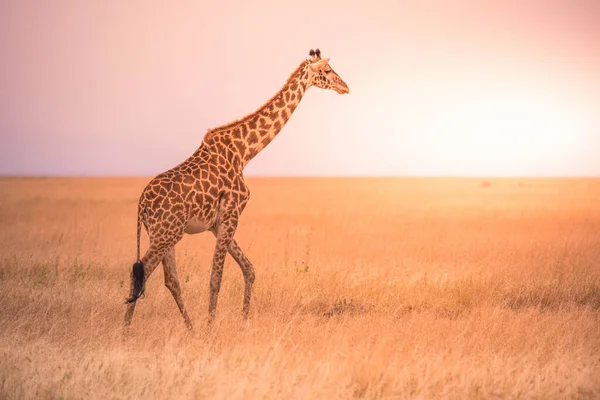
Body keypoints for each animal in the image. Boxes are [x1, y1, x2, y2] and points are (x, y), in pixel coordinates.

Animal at [125, 47, 352, 328]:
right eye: (328, 70)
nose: (345, 87)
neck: (245, 152)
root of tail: (142, 204)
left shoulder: (217, 223)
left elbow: (249, 269)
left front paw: (244, 322)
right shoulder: (231, 215)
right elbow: (216, 278)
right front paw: (211, 327)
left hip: (166, 233)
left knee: (169, 279)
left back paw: (189, 328)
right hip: (166, 233)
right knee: (142, 271)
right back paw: (126, 329)